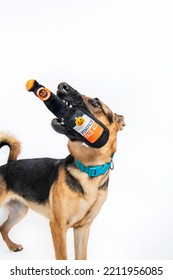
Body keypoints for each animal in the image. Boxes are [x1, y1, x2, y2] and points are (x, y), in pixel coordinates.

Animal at [0, 82, 125, 258]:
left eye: (96, 103)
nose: (62, 86)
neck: (88, 170)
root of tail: (7, 165)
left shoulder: (82, 228)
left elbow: (81, 257)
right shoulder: (58, 227)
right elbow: (63, 257)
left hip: (19, 211)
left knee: (3, 228)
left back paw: (12, 246)